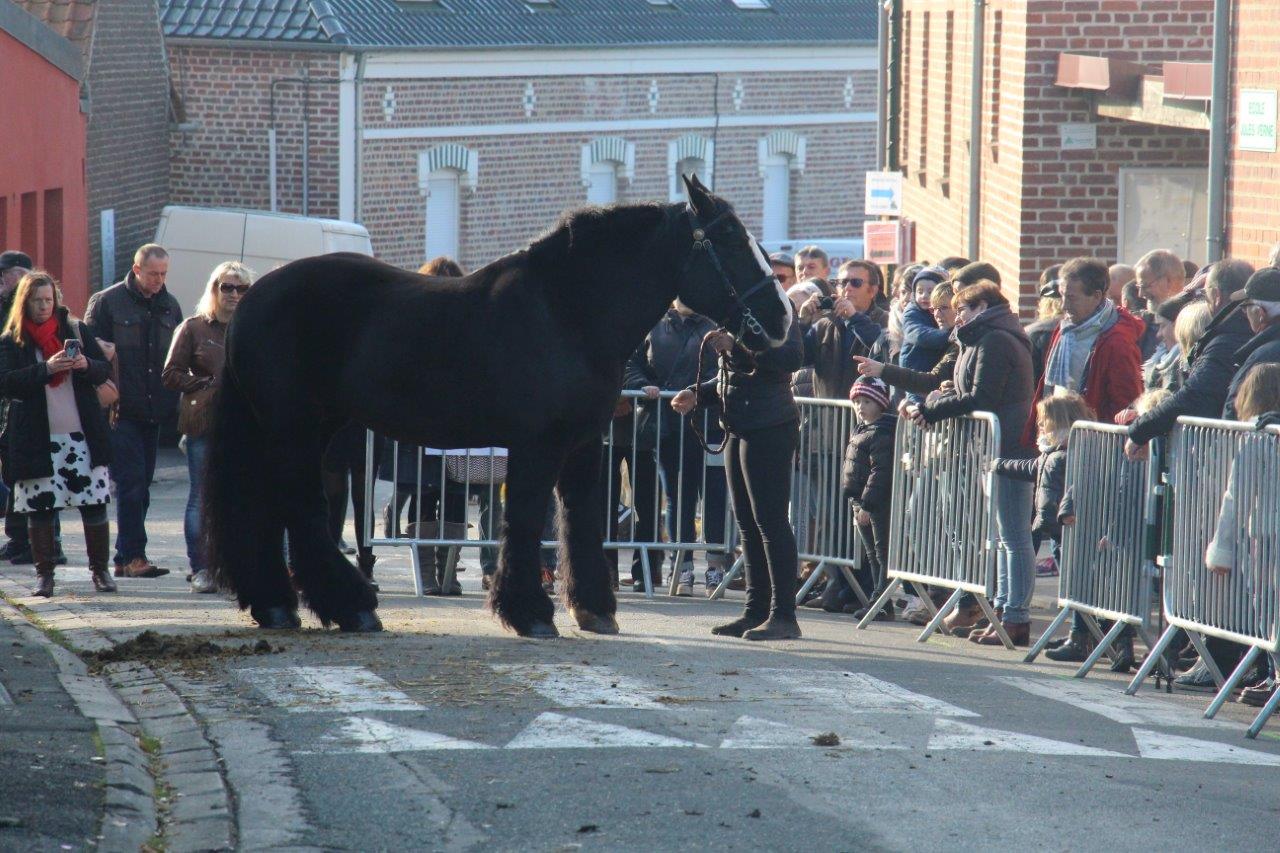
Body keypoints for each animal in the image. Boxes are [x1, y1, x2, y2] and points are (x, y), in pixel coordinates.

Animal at [204, 175, 788, 635]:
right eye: (729, 238)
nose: (781, 318)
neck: (567, 311)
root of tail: (253, 298)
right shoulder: (537, 445)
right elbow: (526, 521)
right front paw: (528, 612)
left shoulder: (585, 443)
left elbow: (579, 520)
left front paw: (593, 610)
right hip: (296, 430)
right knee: (299, 508)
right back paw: (350, 606)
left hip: (302, 430)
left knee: (271, 508)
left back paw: (278, 605)